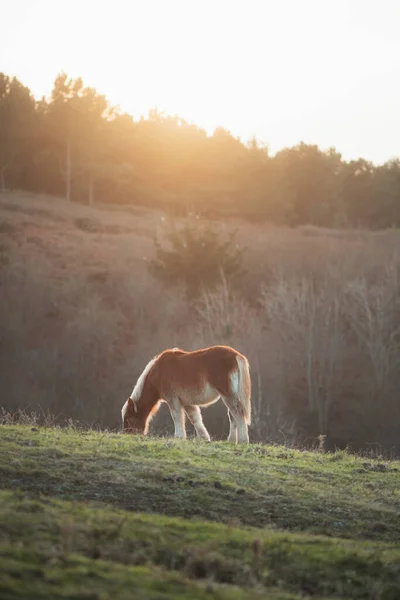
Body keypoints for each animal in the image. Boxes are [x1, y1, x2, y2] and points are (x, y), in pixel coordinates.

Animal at [122, 344, 252, 442]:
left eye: (129, 419)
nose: (126, 436)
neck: (158, 372)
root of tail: (236, 355)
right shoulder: (187, 402)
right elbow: (195, 418)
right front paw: (204, 438)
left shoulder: (173, 399)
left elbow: (177, 416)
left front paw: (179, 437)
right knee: (232, 414)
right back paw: (231, 441)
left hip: (227, 394)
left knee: (238, 412)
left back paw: (243, 441)